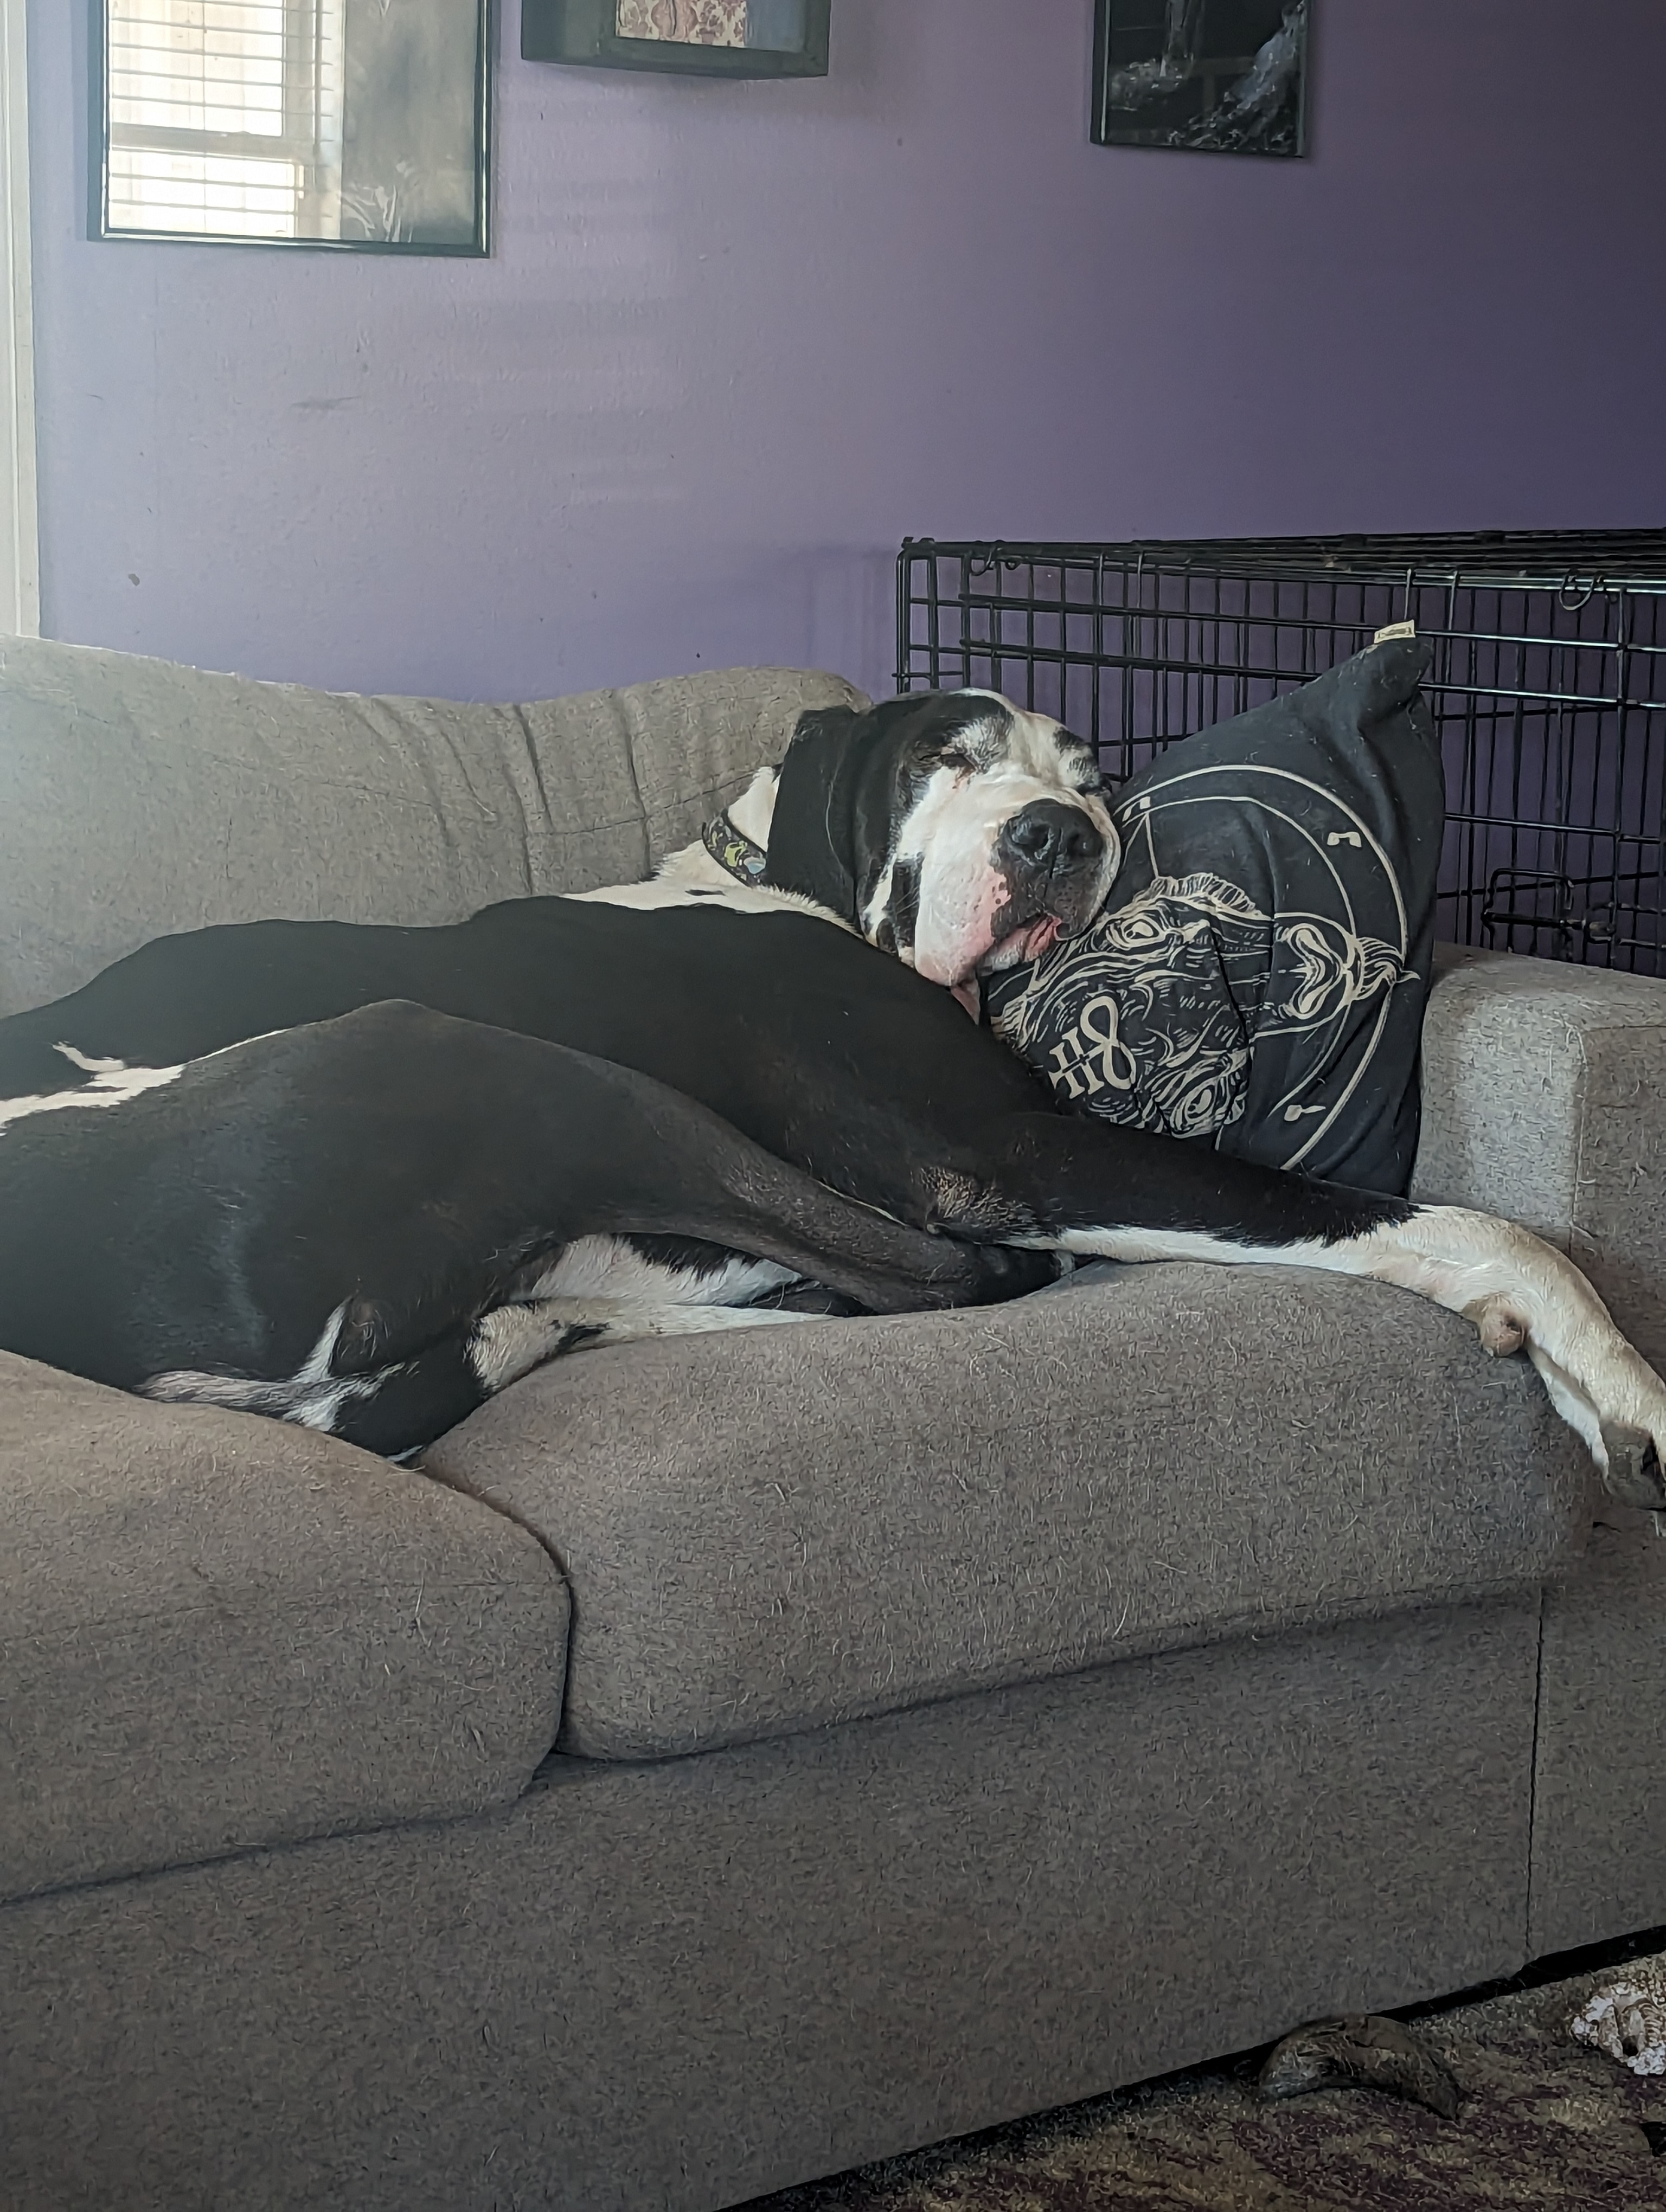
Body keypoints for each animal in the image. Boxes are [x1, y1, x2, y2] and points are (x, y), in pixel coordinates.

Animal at [0, 685, 1655, 1486]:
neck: (766, 882)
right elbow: (1463, 1223)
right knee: (938, 1271)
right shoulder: (993, 1152)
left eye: (1090, 775)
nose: (1058, 836)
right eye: (943, 757)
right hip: (498, 1057)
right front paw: (1621, 1382)